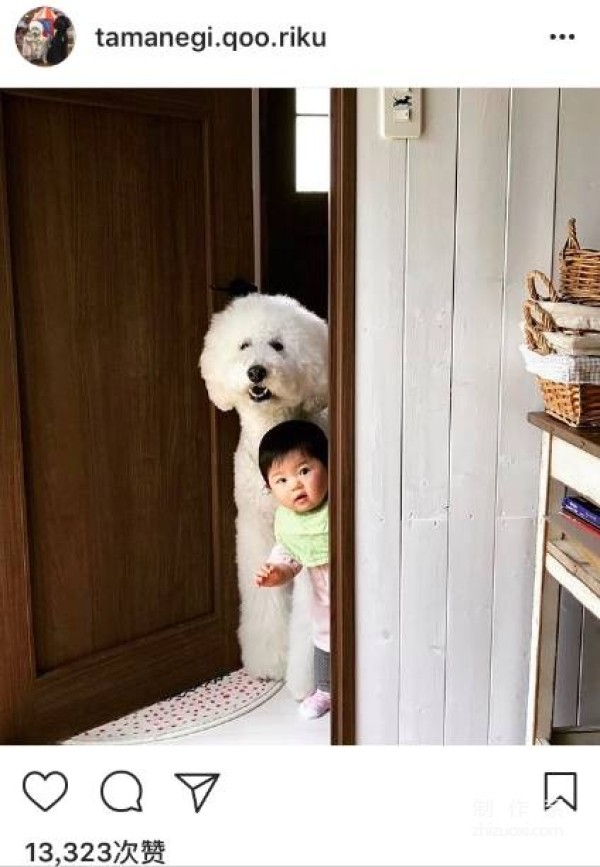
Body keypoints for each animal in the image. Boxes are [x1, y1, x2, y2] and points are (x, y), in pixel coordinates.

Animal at [199, 294, 326, 700]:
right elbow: (264, 600)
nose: (256, 372)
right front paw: (270, 662)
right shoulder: (255, 528)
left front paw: (303, 681)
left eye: (278, 345)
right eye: (243, 345)